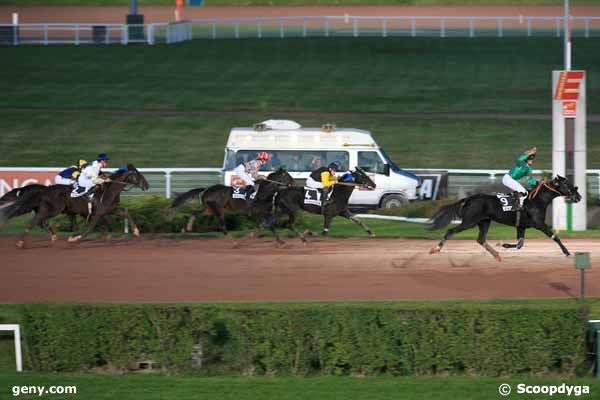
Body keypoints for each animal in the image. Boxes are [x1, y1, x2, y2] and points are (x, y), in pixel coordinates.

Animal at [9, 163, 149, 247]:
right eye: (136, 174)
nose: (147, 185)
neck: (109, 191)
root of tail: (45, 189)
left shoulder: (109, 210)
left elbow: (125, 213)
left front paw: (136, 231)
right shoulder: (97, 213)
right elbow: (90, 228)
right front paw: (75, 238)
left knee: (42, 222)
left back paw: (53, 236)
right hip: (52, 209)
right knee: (35, 221)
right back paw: (21, 242)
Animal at [428, 177, 584, 260]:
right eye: (567, 184)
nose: (579, 196)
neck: (537, 200)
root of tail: (469, 198)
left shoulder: (521, 226)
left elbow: (520, 244)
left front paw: (503, 244)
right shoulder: (539, 224)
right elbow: (555, 236)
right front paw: (567, 252)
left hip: (484, 221)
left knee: (481, 239)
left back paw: (497, 255)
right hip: (469, 221)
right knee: (451, 231)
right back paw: (436, 249)